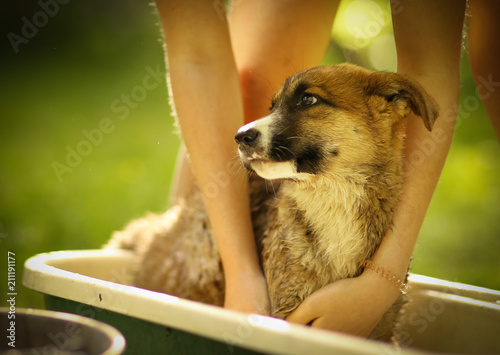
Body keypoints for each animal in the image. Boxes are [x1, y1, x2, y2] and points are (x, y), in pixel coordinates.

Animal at [105, 63, 438, 342]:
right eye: (272, 106)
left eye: (308, 100)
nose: (240, 136)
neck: (334, 201)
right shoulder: (286, 309)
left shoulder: (382, 328)